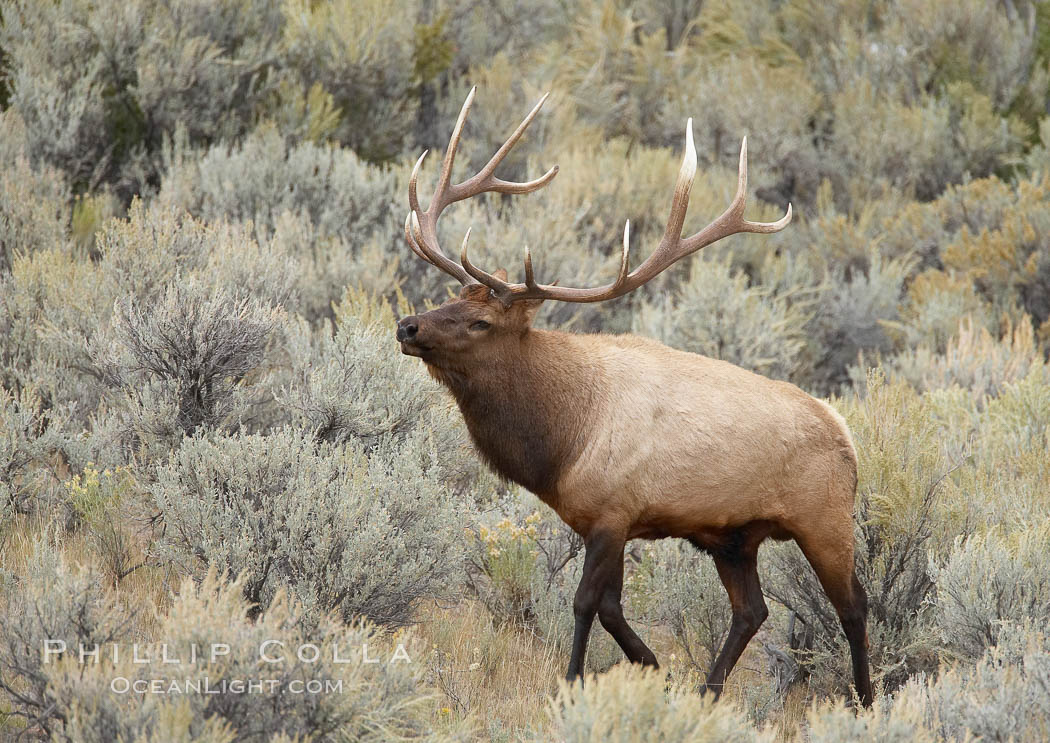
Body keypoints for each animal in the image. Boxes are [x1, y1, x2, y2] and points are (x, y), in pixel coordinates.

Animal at [394, 89, 869, 705]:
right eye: (449, 297)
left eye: (480, 322)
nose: (407, 325)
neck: (561, 444)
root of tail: (846, 434)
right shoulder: (604, 520)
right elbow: (613, 609)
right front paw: (655, 668)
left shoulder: (613, 512)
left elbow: (584, 604)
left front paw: (572, 682)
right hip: (735, 538)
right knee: (752, 611)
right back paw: (709, 691)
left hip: (825, 516)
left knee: (854, 605)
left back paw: (867, 699)